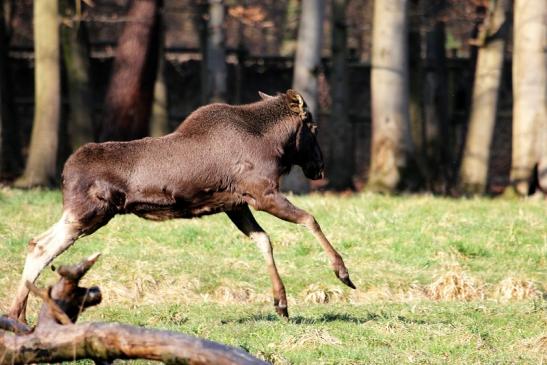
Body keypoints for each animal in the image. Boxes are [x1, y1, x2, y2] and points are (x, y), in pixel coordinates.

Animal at [10, 89, 358, 322]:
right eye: (314, 128)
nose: (319, 168)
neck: (274, 145)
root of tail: (64, 172)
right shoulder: (262, 193)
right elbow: (310, 219)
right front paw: (342, 273)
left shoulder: (236, 204)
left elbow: (264, 240)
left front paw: (281, 304)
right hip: (90, 213)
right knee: (43, 248)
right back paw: (18, 315)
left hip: (82, 214)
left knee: (35, 243)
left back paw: (18, 316)